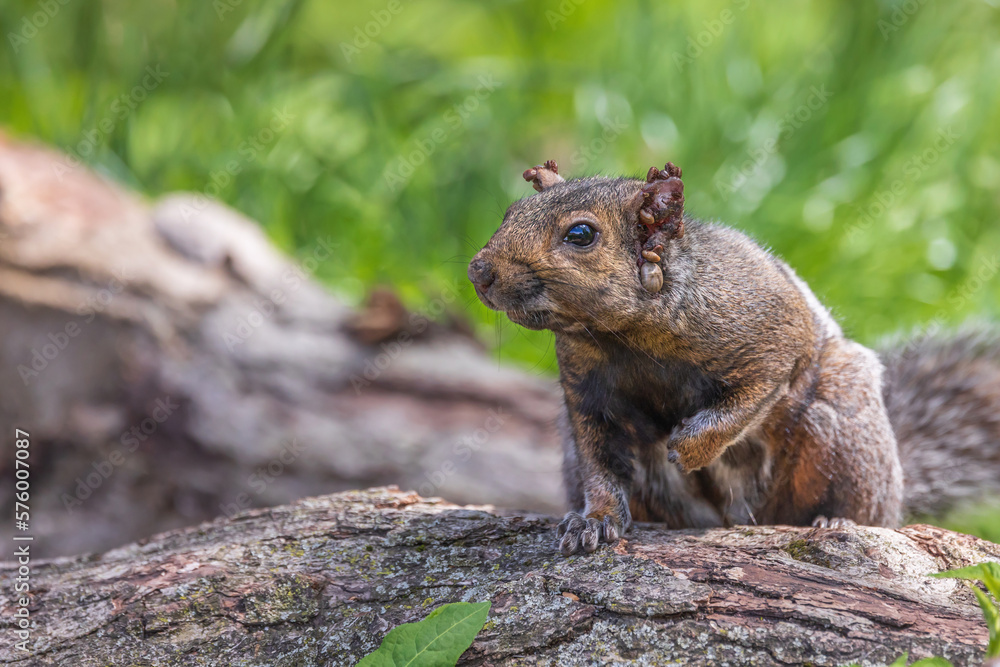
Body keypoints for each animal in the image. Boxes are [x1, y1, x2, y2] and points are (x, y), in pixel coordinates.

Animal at [468, 159, 1000, 556]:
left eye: (581, 235)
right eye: (511, 210)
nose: (478, 271)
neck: (621, 336)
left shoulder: (773, 332)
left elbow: (753, 396)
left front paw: (691, 446)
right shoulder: (586, 393)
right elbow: (600, 463)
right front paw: (593, 520)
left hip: (844, 427)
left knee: (870, 511)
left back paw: (837, 520)